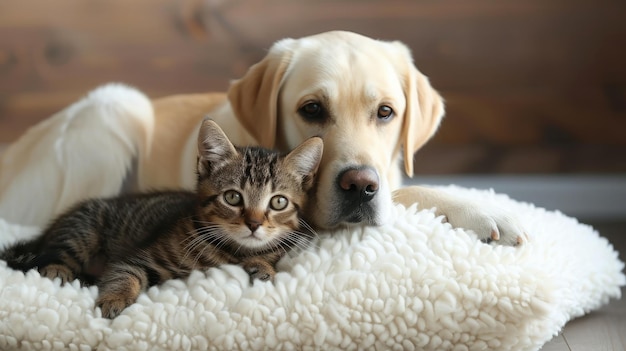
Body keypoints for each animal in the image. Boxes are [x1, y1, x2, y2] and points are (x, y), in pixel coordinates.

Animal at [0, 31, 528, 246]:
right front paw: (487, 211)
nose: (360, 186)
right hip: (116, 104)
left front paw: (483, 208)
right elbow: (413, 191)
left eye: (386, 112)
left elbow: (408, 188)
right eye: (312, 109)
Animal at [1, 119, 322, 320]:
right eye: (233, 197)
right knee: (51, 257)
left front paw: (262, 266)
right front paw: (114, 300)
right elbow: (124, 273)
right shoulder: (139, 257)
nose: (254, 224)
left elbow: (268, 258)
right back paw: (58, 271)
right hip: (82, 230)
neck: (232, 250)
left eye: (278, 202)